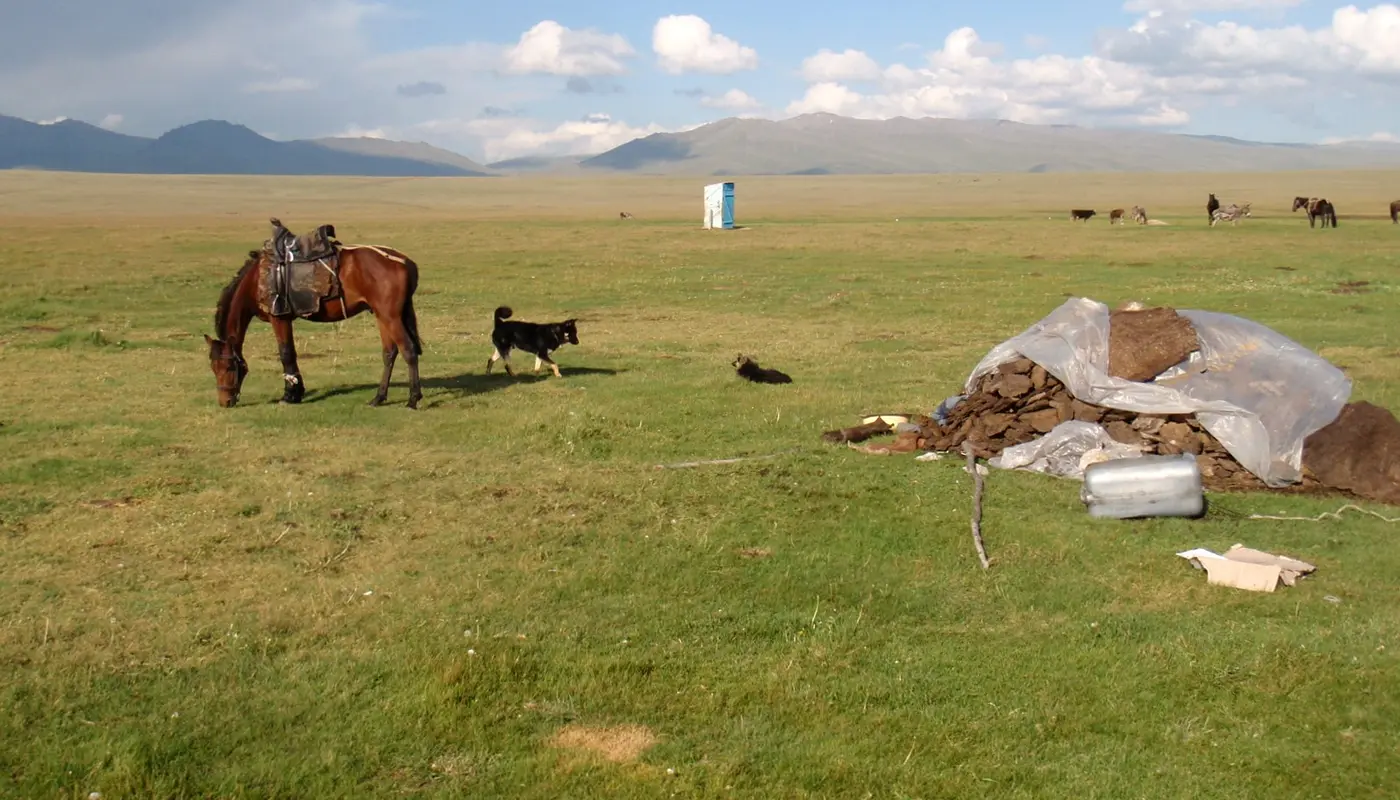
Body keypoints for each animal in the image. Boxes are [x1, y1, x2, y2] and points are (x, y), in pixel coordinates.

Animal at [204, 222, 424, 409]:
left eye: (228, 367)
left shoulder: (279, 317)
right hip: (382, 315)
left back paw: (413, 399)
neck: (257, 279)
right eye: (213, 367)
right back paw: (378, 398)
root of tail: (406, 262)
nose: (225, 401)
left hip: (390, 316)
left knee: (409, 350)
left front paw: (290, 395)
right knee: (389, 353)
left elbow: (286, 353)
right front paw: (297, 392)